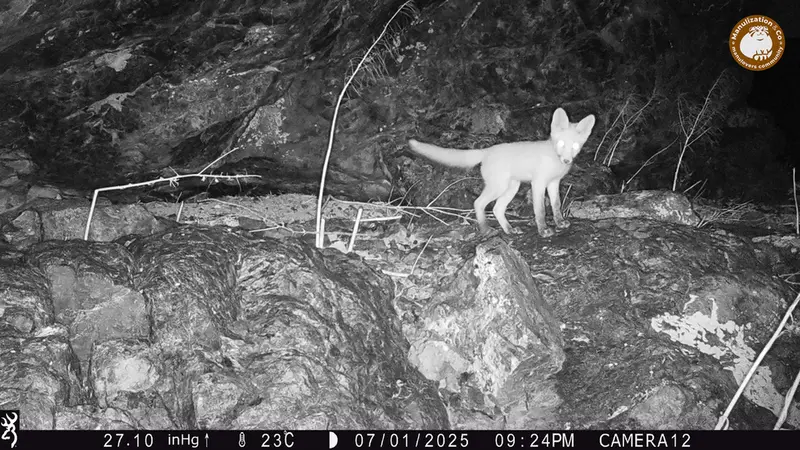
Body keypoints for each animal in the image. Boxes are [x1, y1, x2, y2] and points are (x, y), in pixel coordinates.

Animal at [408, 107, 596, 237]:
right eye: (561, 143)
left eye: (575, 146)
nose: (567, 161)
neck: (553, 160)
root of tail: (487, 151)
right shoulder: (538, 183)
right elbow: (540, 210)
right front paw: (543, 231)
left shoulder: (554, 183)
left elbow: (556, 205)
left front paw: (560, 223)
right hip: (499, 187)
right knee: (479, 203)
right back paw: (486, 230)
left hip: (511, 187)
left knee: (497, 209)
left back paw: (509, 229)